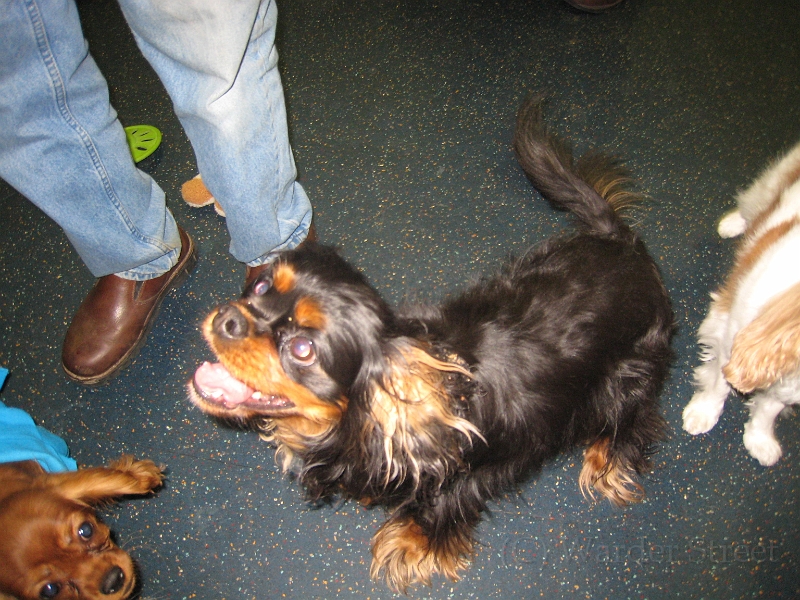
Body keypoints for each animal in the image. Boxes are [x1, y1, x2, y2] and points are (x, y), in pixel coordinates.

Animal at [189, 96, 674, 592]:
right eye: (262, 285)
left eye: (304, 350)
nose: (228, 320)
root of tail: (621, 241)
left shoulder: (466, 476)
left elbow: (439, 511)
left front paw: (409, 545)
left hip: (629, 371)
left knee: (633, 418)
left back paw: (607, 459)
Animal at [683, 140, 800, 466]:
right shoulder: (731, 337)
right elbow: (718, 385)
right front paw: (702, 413)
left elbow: (770, 406)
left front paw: (760, 439)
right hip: (776, 179)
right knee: (754, 202)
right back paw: (734, 224)